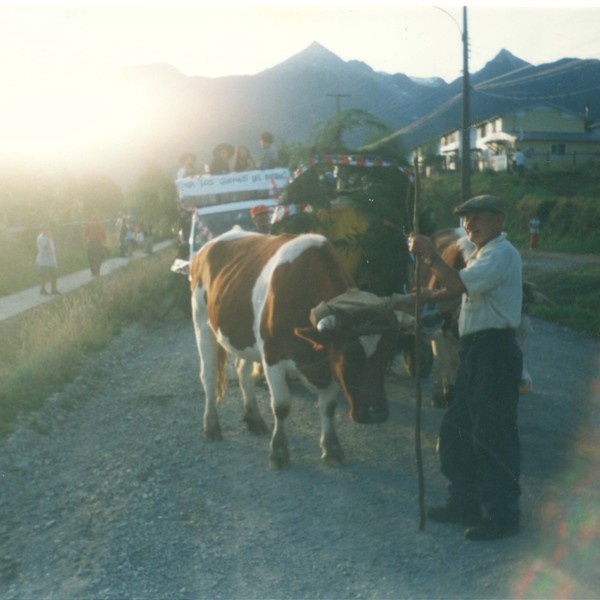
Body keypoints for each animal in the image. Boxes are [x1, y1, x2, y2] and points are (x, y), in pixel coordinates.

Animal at [190, 227, 400, 466]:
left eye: (387, 356)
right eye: (349, 356)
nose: (377, 414)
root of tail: (208, 245)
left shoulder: (327, 362)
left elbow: (328, 407)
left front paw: (332, 447)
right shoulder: (272, 357)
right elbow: (281, 406)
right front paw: (279, 451)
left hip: (243, 335)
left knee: (242, 370)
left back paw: (254, 418)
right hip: (202, 322)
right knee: (209, 376)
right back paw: (211, 425)